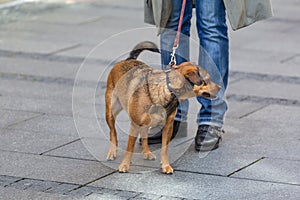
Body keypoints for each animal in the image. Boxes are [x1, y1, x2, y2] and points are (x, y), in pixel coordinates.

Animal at [105, 41, 220, 173]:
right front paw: (124, 165)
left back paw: (147, 152)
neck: (168, 89)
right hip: (111, 111)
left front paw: (166, 166)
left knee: (144, 135)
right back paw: (112, 152)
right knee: (112, 132)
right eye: (206, 81)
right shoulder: (135, 124)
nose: (220, 87)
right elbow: (130, 147)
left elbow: (165, 149)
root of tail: (129, 59)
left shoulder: (168, 126)